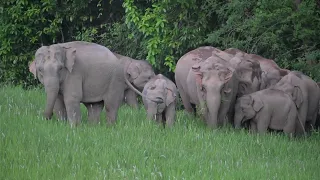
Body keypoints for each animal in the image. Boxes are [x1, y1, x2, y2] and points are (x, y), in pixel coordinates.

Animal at [28, 41, 158, 127]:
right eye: (40, 70)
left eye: (60, 68)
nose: (46, 118)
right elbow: (58, 101)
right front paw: (62, 125)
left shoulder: (75, 72)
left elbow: (72, 97)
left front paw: (74, 128)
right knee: (94, 106)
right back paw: (93, 127)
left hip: (115, 79)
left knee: (110, 104)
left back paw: (109, 128)